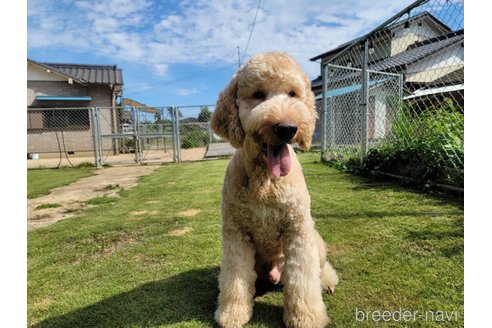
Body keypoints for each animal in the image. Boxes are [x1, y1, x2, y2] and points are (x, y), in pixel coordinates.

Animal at [211, 52, 338, 328]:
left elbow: (303, 280)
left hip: (316, 242)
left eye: (293, 93)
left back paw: (327, 282)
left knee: (320, 269)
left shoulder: (298, 230)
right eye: (258, 94)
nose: (287, 128)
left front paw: (306, 317)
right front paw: (232, 313)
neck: (266, 181)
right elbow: (235, 278)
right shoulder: (236, 234)